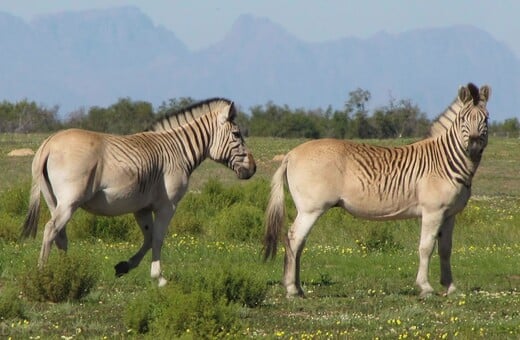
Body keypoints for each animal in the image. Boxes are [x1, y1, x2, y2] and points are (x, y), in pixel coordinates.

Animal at [20, 97, 256, 286]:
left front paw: (124, 266)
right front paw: (159, 278)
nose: (253, 169)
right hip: (70, 201)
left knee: (60, 235)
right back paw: (43, 274)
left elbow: (149, 238)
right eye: (236, 134)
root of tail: (49, 143)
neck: (177, 152)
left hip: (53, 200)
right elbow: (158, 238)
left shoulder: (141, 207)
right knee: (51, 229)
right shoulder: (167, 205)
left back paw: (67, 272)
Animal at [264, 83, 492, 298]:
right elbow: (426, 247)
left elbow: (445, 250)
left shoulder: (450, 214)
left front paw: (450, 287)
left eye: (486, 119)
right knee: (294, 239)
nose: (473, 148)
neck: (445, 162)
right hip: (311, 209)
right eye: (463, 119)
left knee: (298, 242)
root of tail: (291, 154)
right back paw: (292, 289)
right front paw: (425, 287)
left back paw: (298, 288)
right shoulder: (432, 211)